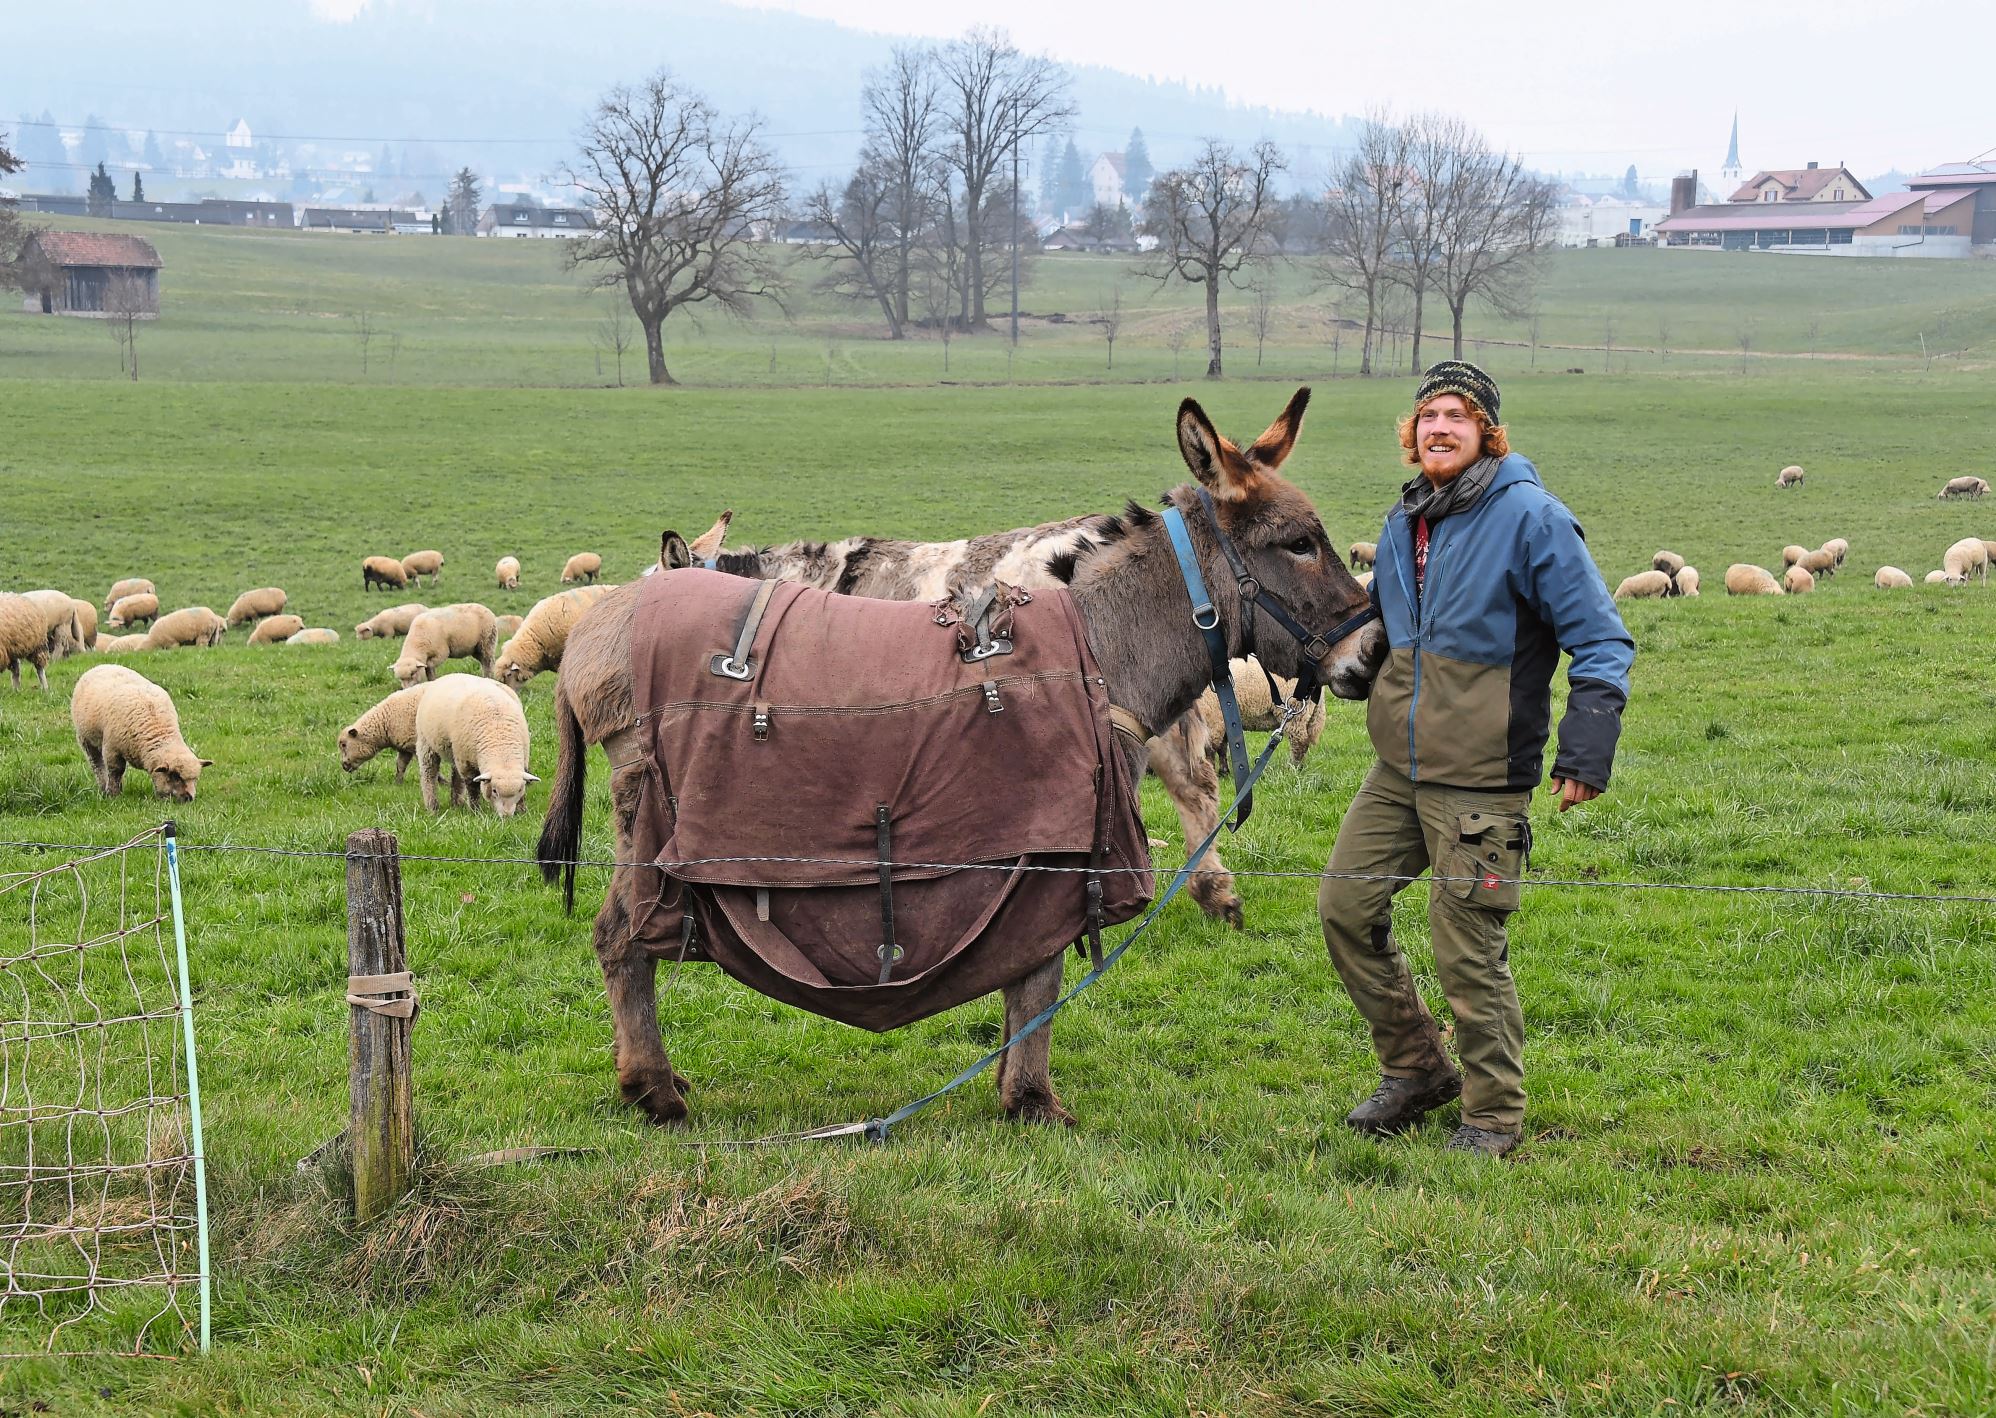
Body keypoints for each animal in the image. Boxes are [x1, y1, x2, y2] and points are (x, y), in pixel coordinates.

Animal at [70, 663, 212, 798]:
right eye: (175, 777)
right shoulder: (112, 749)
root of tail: (102, 665)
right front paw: (113, 794)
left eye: (195, 779)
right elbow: (116, 771)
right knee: (97, 764)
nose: (189, 798)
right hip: (86, 740)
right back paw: (103, 786)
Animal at [415, 679, 538, 822]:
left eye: (519, 790)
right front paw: (475, 811)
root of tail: (447, 677)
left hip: (455, 752)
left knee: (455, 775)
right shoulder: (467, 764)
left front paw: (522, 811)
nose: (506, 817)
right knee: (429, 775)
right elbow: (472, 787)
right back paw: (432, 807)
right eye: (494, 791)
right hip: (426, 744)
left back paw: (457, 803)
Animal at [1197, 659, 1325, 770]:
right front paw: (1224, 772)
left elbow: (1209, 750)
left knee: (1300, 742)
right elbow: (1222, 747)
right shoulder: (1221, 720)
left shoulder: (1213, 719)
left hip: (1294, 711)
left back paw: (1293, 768)